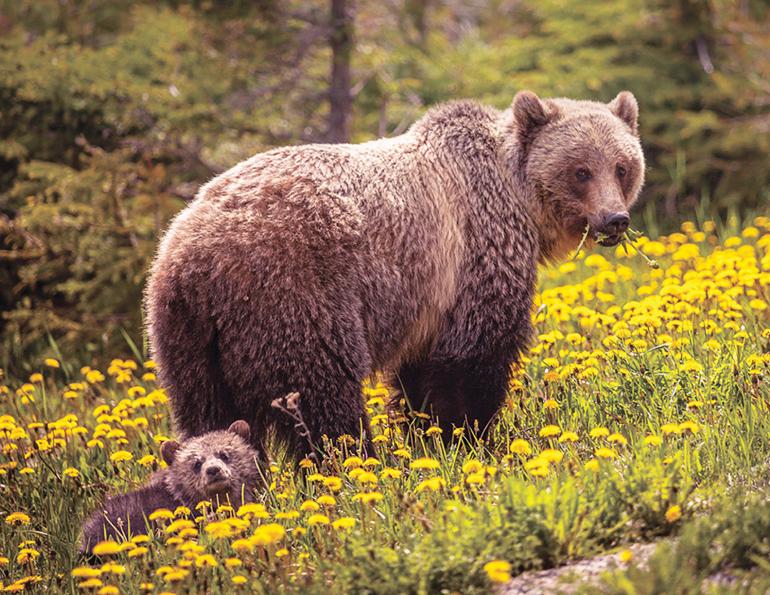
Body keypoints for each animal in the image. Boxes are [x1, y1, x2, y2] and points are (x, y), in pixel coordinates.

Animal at [145, 90, 644, 460]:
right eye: (581, 170)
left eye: (622, 166)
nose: (614, 220)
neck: (518, 199)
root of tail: (193, 257)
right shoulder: (473, 254)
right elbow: (475, 356)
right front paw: (471, 438)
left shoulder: (429, 300)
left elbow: (421, 375)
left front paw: (428, 435)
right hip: (292, 296)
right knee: (323, 394)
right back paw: (355, 462)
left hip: (187, 338)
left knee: (207, 414)